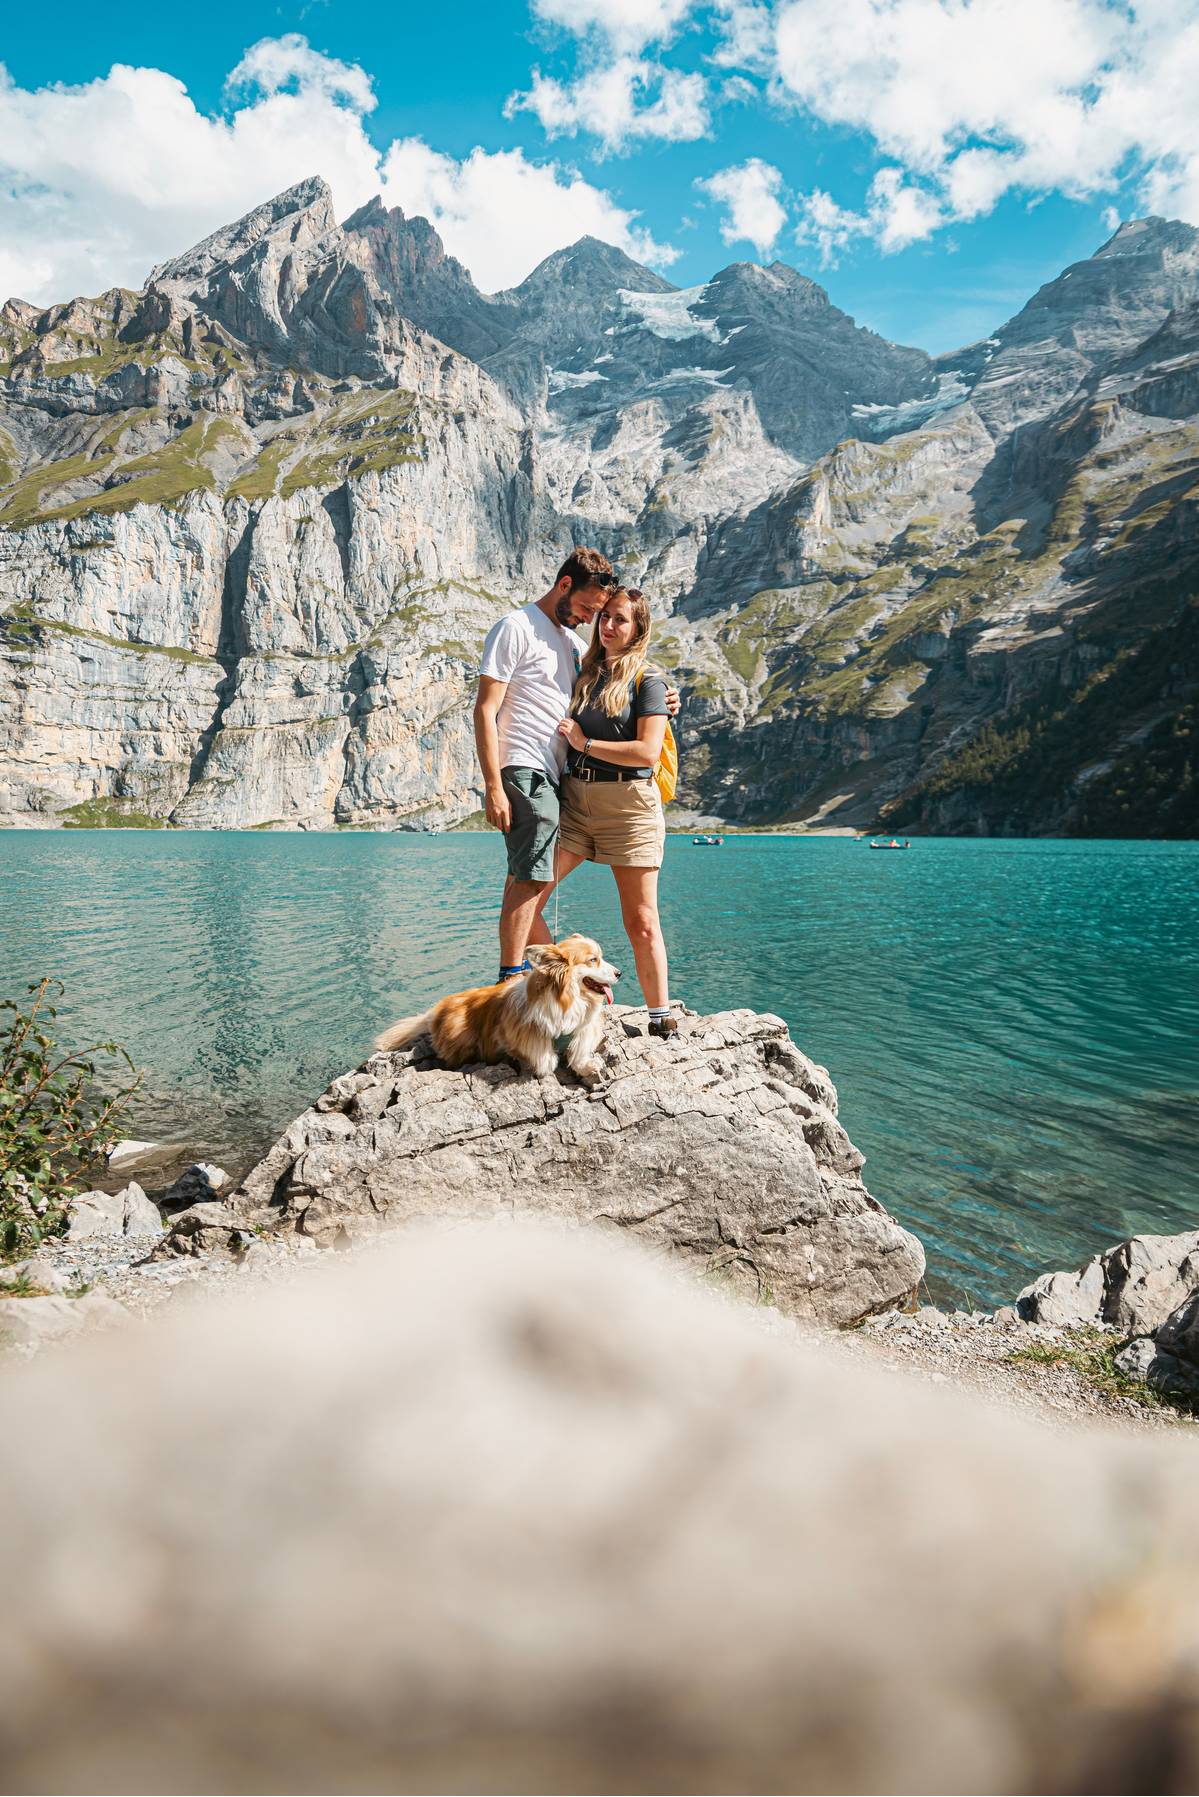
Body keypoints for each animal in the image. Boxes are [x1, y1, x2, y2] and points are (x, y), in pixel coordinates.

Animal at [372, 941, 618, 1078]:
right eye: (593, 960)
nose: (619, 973)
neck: (568, 999)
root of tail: (433, 1013)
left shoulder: (585, 1026)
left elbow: (580, 1047)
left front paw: (587, 1065)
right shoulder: (516, 1031)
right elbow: (542, 1055)